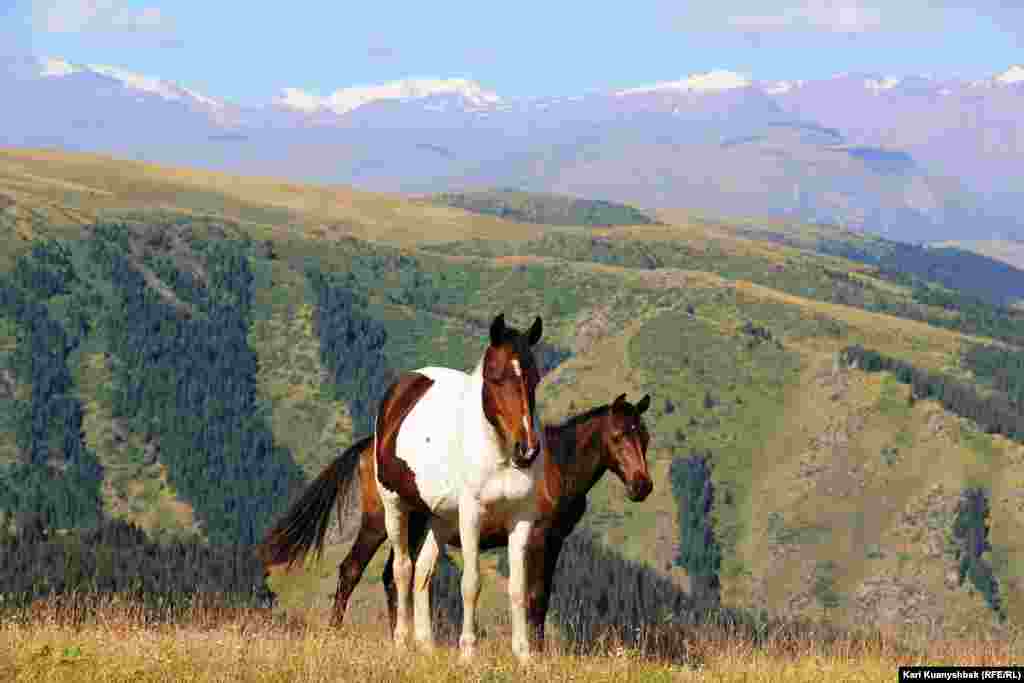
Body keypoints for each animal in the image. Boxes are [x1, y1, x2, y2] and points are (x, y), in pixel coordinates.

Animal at [258, 389, 655, 651]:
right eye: (618, 436)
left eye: (646, 437)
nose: (642, 486)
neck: (554, 467)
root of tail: (372, 445)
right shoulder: (541, 538)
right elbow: (536, 596)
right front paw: (537, 652)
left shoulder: (552, 540)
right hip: (378, 521)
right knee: (352, 570)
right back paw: (336, 633)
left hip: (415, 524)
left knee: (392, 575)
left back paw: (403, 640)